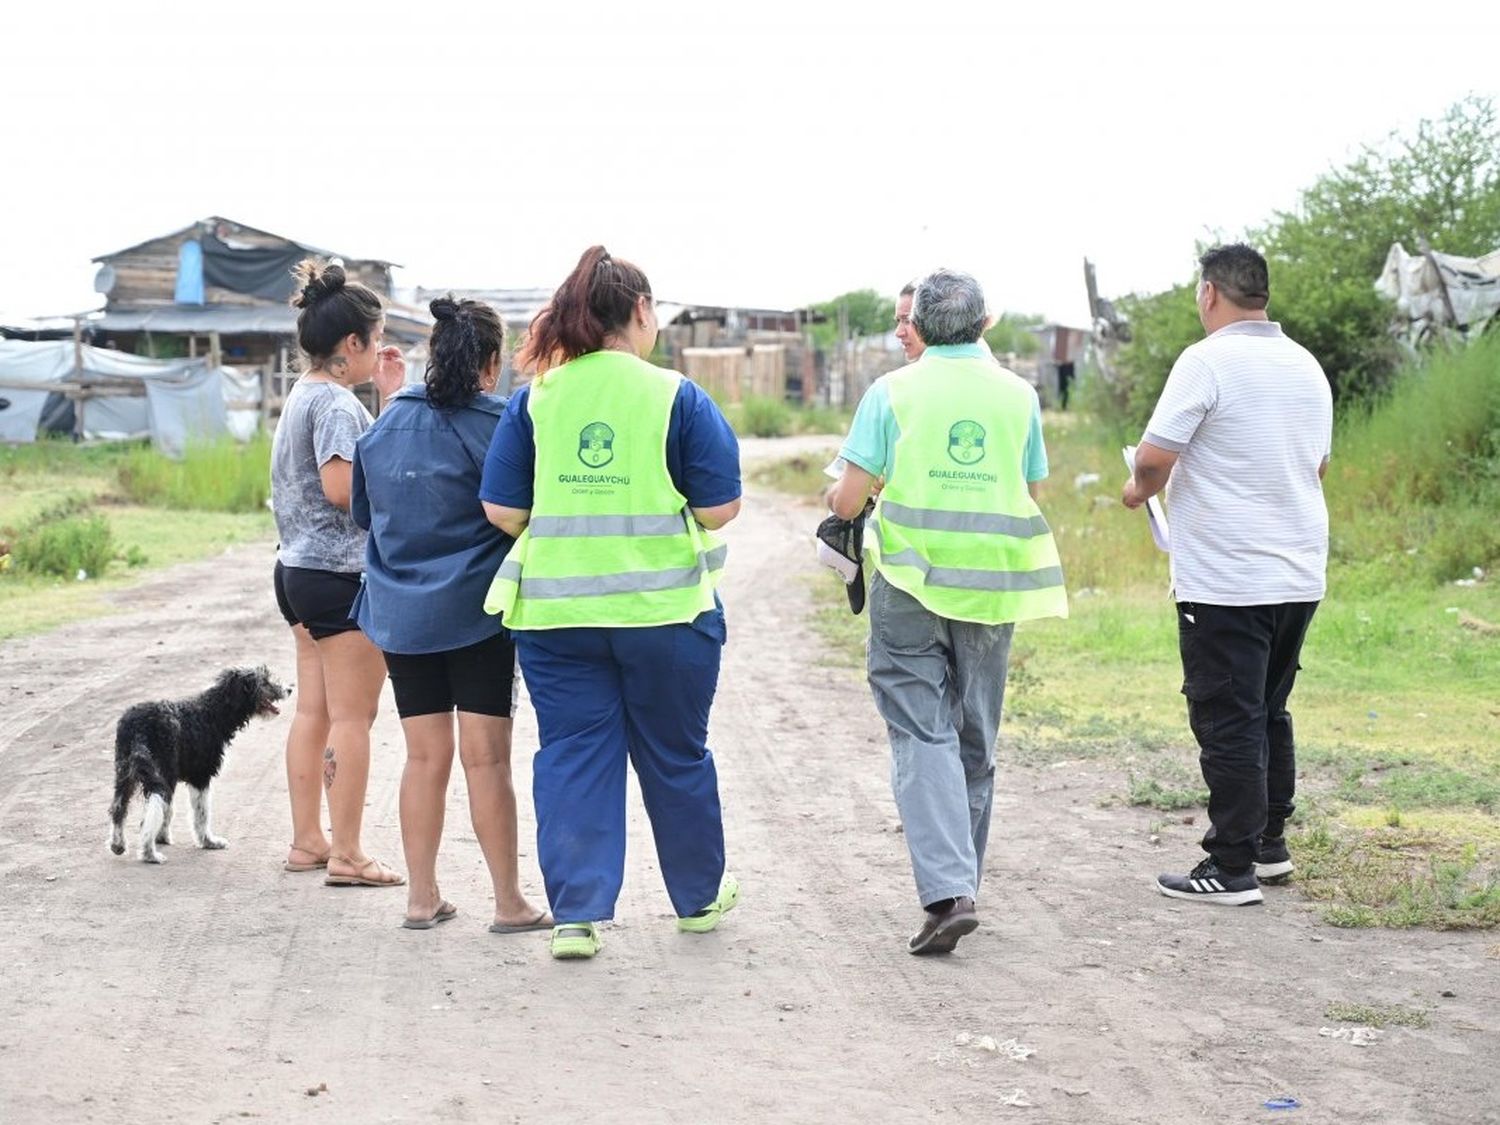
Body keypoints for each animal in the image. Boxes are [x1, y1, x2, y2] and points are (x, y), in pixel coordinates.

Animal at [108, 669, 286, 864]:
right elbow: (201, 814)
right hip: (161, 774)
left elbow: (168, 811)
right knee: (148, 815)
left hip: (126, 773)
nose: (290, 689)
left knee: (118, 808)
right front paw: (209, 842)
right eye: (265, 681)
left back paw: (118, 845)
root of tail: (139, 726)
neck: (212, 712)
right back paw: (149, 853)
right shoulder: (200, 777)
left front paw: (162, 837)